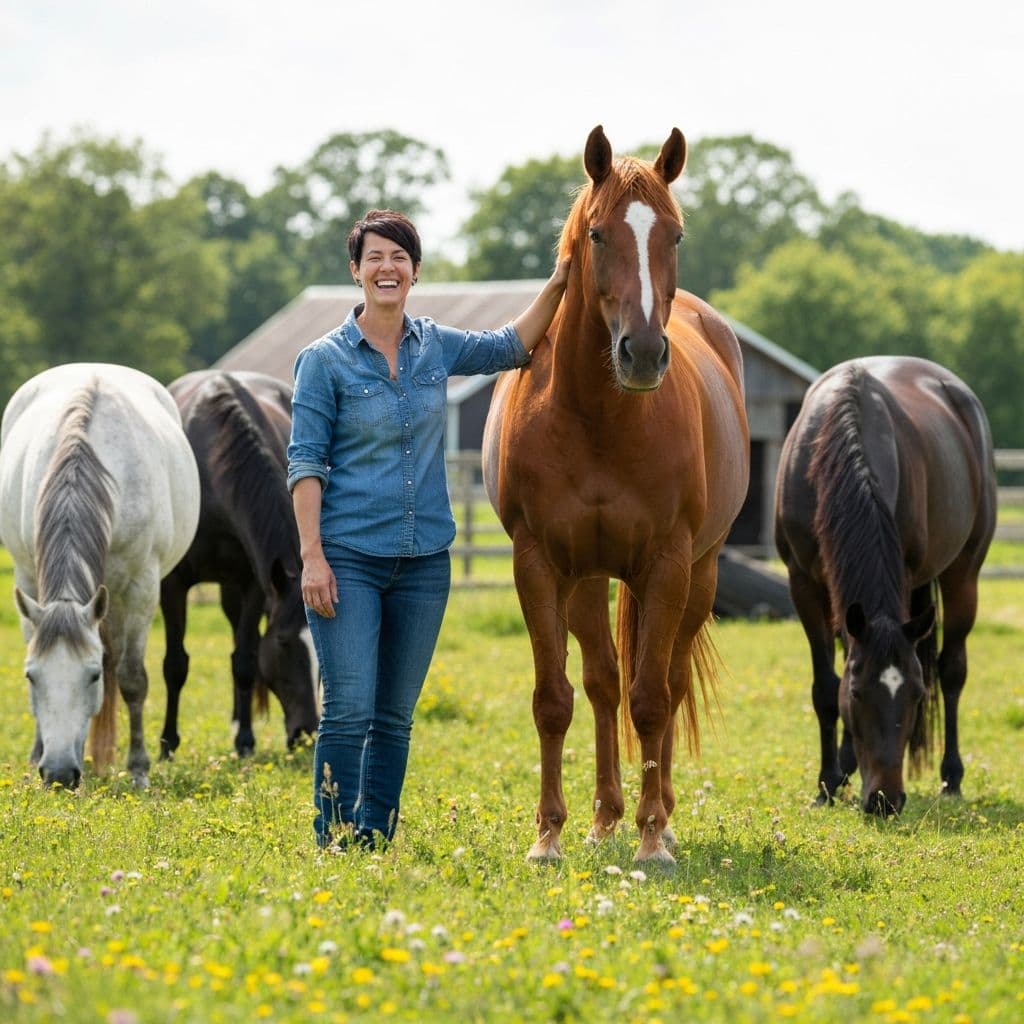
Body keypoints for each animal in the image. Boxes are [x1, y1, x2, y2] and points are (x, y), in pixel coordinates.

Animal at [0, 363, 200, 788]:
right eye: (31, 677)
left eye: (92, 677)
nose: (59, 774)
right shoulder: (28, 578)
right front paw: (37, 751)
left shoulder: (142, 587)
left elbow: (131, 678)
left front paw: (138, 768)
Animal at [159, 370, 319, 759]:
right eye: (284, 643)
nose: (307, 734)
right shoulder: (173, 584)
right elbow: (175, 664)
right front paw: (167, 744)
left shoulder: (252, 583)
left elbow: (246, 662)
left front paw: (245, 741)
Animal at [482, 126, 750, 864]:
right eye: (598, 234)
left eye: (676, 235)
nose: (644, 353)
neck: (599, 418)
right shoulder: (538, 564)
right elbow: (555, 698)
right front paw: (547, 835)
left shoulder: (666, 564)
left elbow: (653, 699)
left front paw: (652, 841)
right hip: (587, 578)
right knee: (603, 682)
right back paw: (604, 817)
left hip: (700, 575)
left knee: (669, 683)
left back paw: (660, 815)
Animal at [774, 356, 996, 815]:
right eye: (858, 694)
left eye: (914, 694)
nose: (885, 800)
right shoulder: (803, 583)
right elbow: (827, 686)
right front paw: (827, 783)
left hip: (963, 574)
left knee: (952, 671)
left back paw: (951, 778)